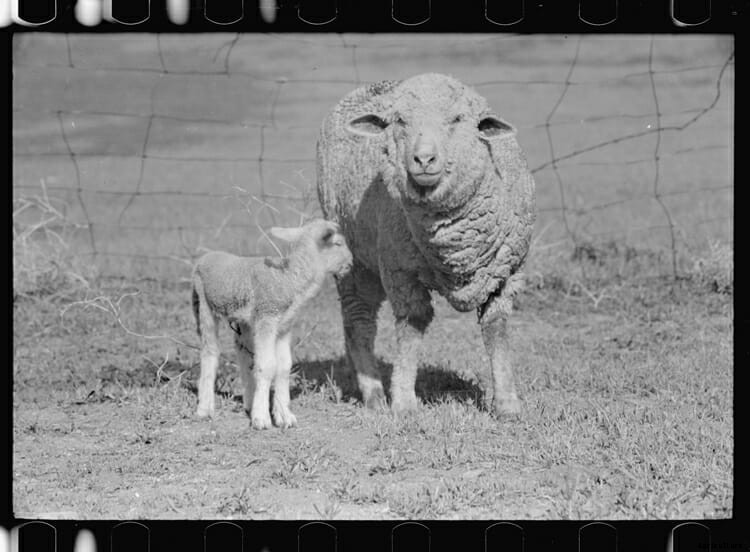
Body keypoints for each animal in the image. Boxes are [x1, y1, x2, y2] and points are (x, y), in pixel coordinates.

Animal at [191, 218, 353, 429]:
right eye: (338, 243)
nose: (351, 263)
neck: (289, 280)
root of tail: (206, 256)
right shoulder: (267, 318)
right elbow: (268, 366)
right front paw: (262, 419)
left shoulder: (283, 327)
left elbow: (284, 367)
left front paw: (284, 415)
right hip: (204, 305)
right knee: (209, 352)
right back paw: (205, 408)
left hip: (245, 322)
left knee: (243, 354)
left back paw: (249, 402)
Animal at [317, 73, 536, 417]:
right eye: (399, 121)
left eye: (457, 119)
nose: (423, 159)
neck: (453, 240)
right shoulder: (400, 271)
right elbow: (412, 326)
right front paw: (404, 403)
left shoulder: (507, 274)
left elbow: (496, 328)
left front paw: (507, 404)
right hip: (353, 256)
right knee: (359, 320)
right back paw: (374, 393)